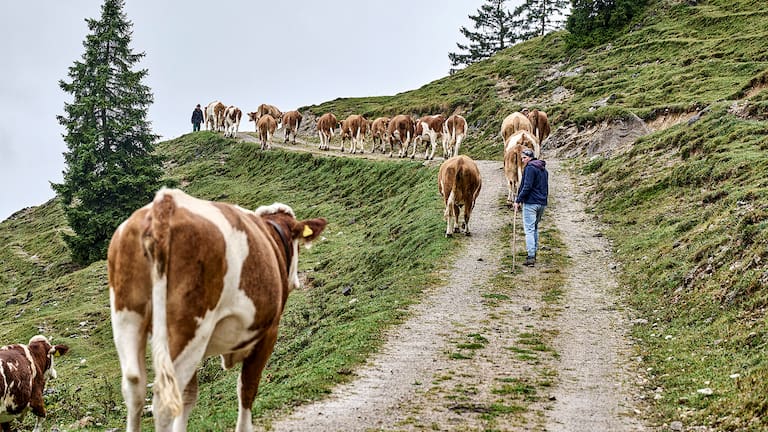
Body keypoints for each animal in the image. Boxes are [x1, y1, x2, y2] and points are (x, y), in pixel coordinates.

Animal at [107, 188, 328, 432]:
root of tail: (164, 203)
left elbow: (189, 396)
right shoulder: (269, 332)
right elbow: (247, 388)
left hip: (127, 317)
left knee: (134, 388)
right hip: (189, 328)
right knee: (164, 401)